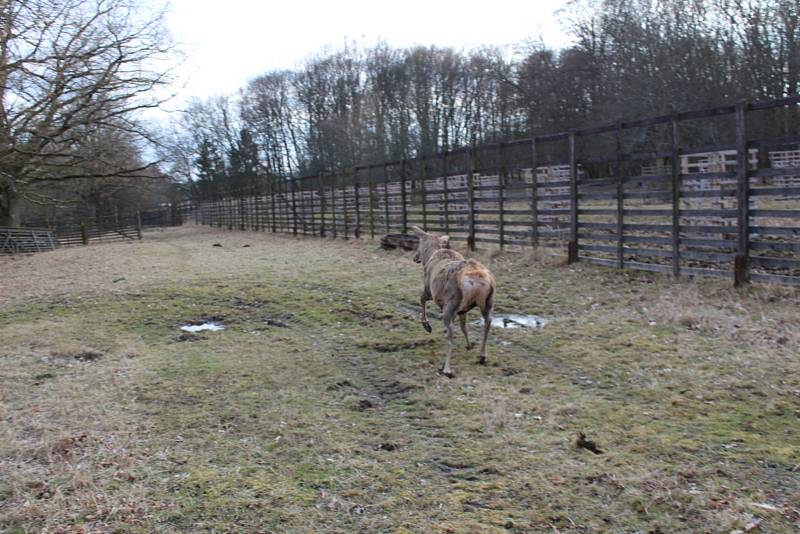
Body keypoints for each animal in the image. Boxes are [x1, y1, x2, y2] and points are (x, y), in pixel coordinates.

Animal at [412, 226, 494, 376]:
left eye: (418, 243)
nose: (415, 257)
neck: (429, 256)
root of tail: (476, 281)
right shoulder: (463, 309)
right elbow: (463, 326)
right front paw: (468, 345)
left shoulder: (430, 290)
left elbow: (421, 298)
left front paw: (426, 325)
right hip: (488, 302)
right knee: (488, 322)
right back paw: (482, 356)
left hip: (451, 303)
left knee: (450, 330)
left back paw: (446, 368)